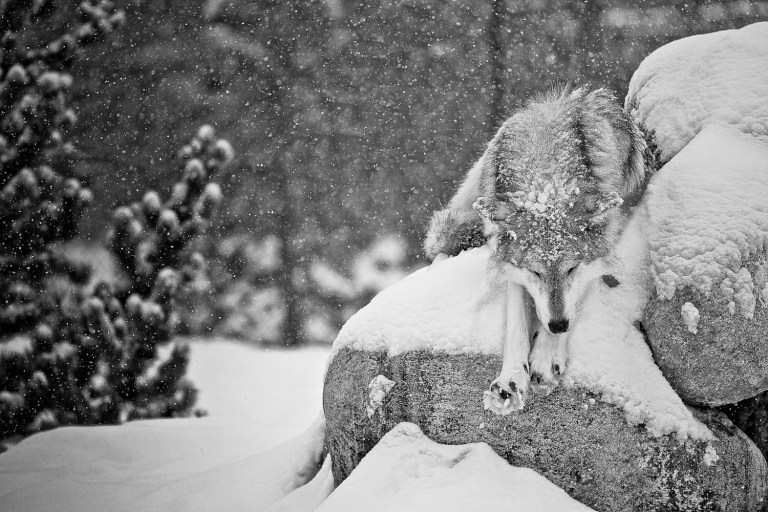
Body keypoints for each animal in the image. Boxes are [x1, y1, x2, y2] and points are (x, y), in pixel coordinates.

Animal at [424, 87, 648, 414]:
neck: (546, 175)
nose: (558, 324)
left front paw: (545, 356)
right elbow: (516, 323)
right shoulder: (511, 265)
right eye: (535, 272)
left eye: (571, 269)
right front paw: (510, 380)